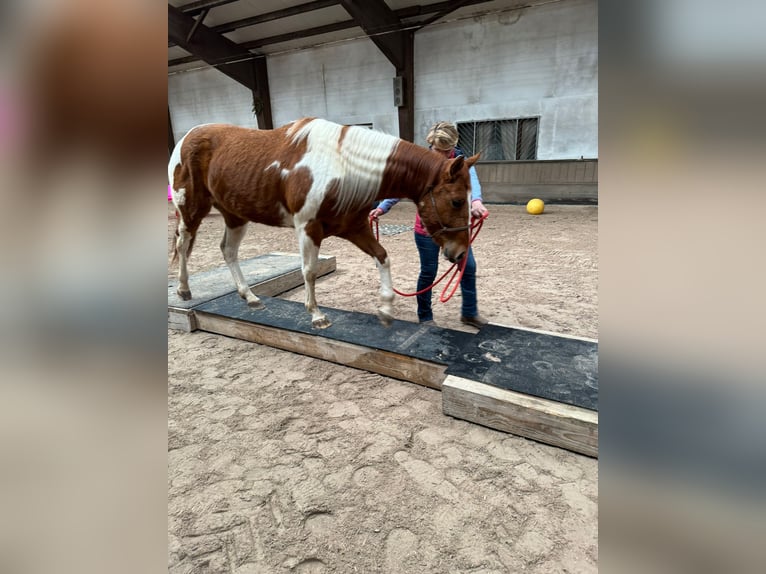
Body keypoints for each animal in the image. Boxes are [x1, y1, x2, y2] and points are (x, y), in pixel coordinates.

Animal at [169, 118, 480, 328]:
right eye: (456, 201)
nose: (459, 253)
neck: (341, 166)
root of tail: (187, 137)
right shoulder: (308, 228)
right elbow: (309, 271)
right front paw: (317, 315)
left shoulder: (355, 228)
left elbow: (383, 257)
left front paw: (386, 309)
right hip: (191, 208)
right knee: (183, 244)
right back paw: (183, 289)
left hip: (235, 215)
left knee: (229, 251)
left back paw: (250, 297)